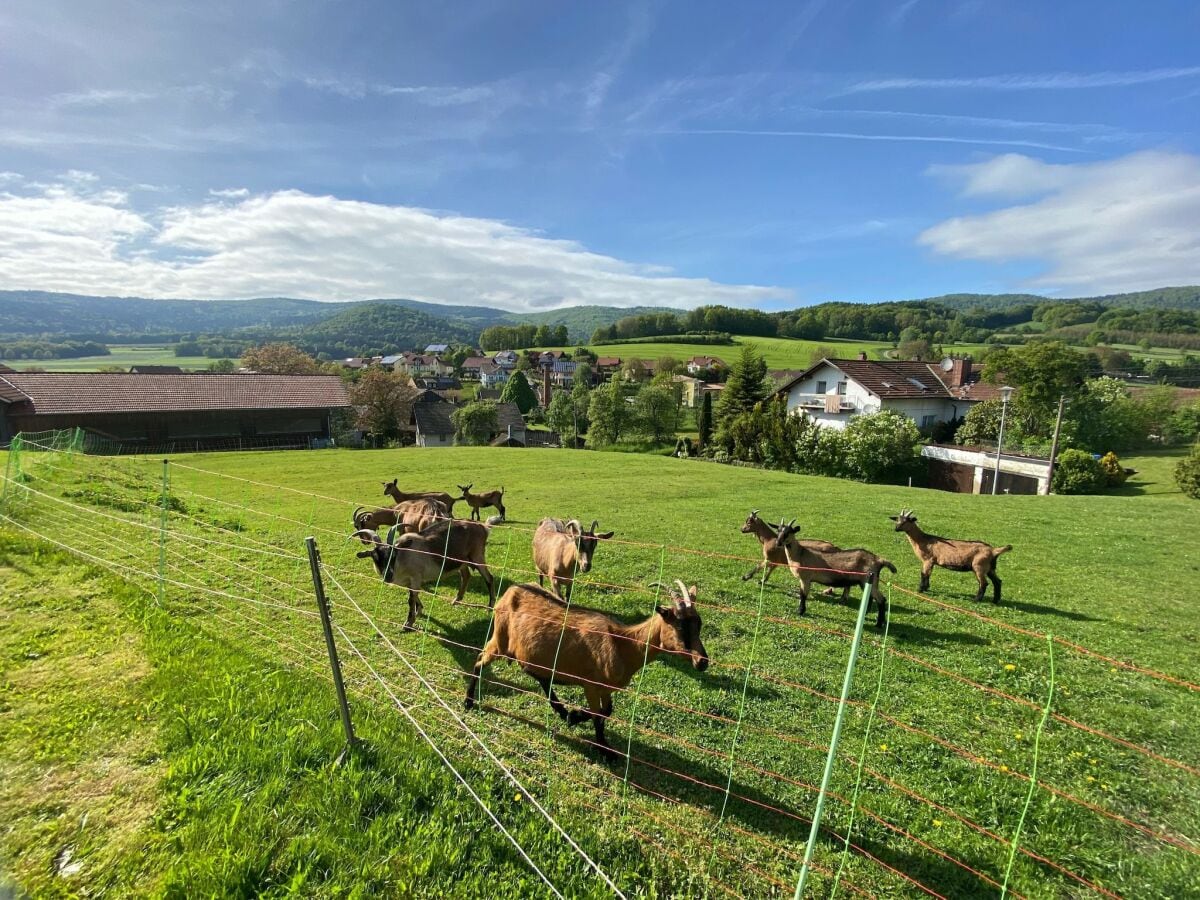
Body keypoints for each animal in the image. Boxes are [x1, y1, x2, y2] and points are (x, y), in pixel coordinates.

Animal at [350, 518, 496, 628]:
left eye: (394, 555)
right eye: (375, 557)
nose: (388, 576)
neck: (404, 556)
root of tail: (482, 527)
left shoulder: (415, 577)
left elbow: (411, 598)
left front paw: (408, 623)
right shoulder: (410, 581)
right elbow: (414, 596)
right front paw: (419, 611)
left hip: (477, 556)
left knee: (489, 578)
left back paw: (490, 607)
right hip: (461, 562)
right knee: (466, 576)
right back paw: (456, 600)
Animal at [463, 578, 705, 763]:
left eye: (699, 624)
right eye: (680, 626)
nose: (702, 662)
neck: (622, 644)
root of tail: (510, 591)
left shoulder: (605, 688)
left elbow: (607, 711)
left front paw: (576, 718)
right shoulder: (590, 685)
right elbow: (598, 716)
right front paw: (604, 749)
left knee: (535, 674)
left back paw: (561, 710)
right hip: (500, 640)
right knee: (479, 660)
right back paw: (468, 701)